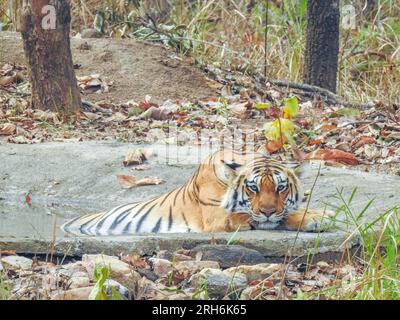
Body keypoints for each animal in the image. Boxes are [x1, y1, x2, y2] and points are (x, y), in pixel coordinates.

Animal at [61, 149, 332, 235]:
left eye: (281, 187)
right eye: (253, 187)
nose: (267, 211)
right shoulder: (219, 218)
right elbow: (275, 218)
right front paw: (316, 218)